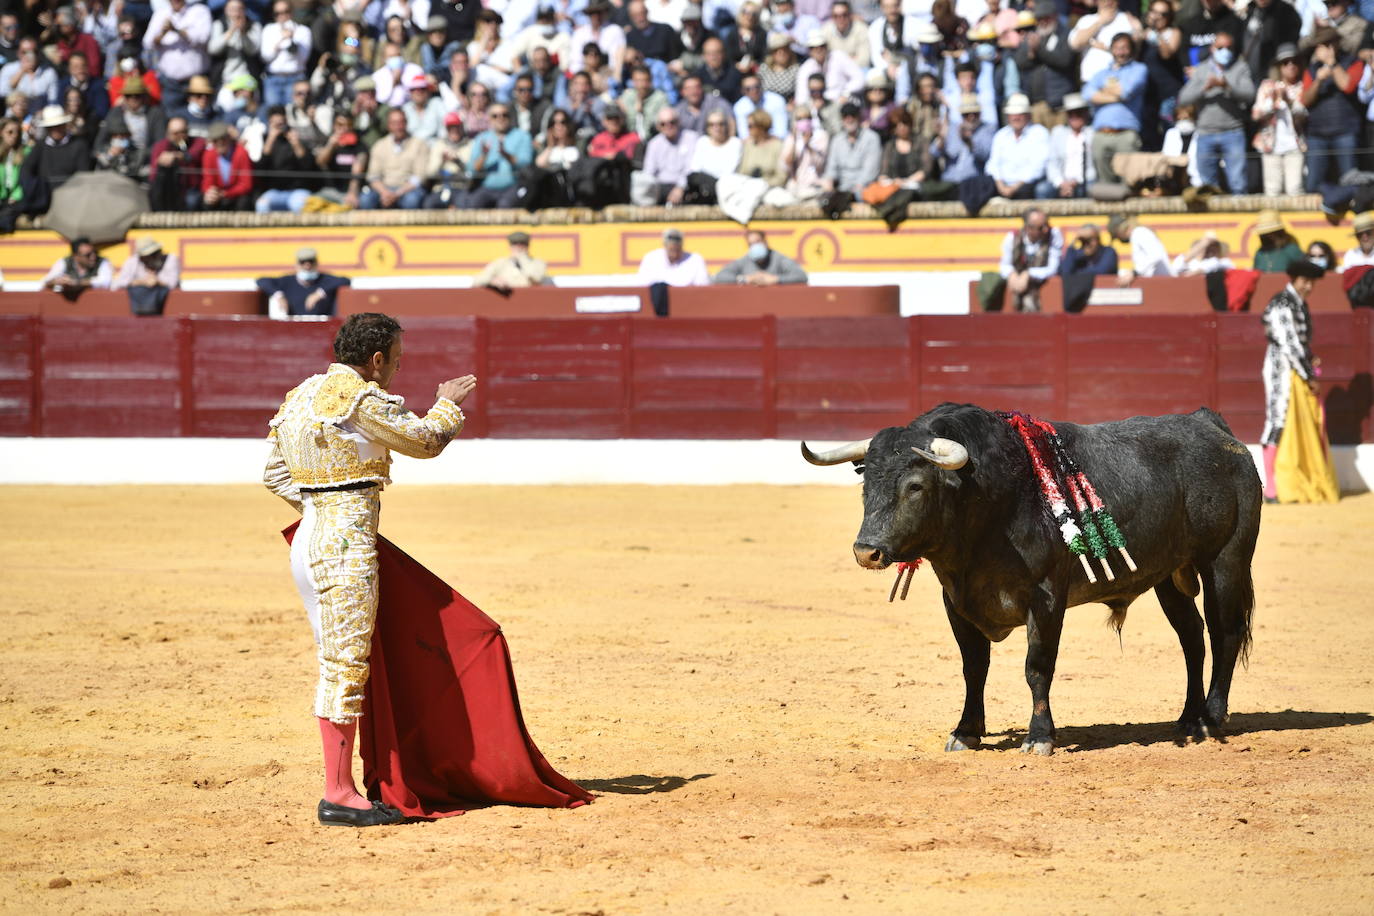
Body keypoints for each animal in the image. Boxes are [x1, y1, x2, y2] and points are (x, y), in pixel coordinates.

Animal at [802, 403, 1258, 758]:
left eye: (915, 486)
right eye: (866, 483)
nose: (867, 551)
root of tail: (1210, 425)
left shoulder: (1046, 597)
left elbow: (1037, 666)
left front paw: (1039, 737)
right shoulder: (956, 602)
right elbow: (974, 668)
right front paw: (965, 732)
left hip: (1225, 560)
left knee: (1224, 632)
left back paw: (1211, 717)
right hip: (1169, 576)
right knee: (1192, 637)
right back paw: (1188, 718)